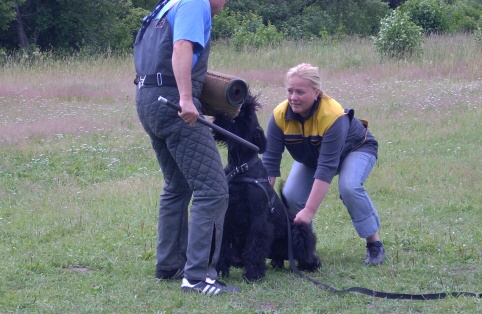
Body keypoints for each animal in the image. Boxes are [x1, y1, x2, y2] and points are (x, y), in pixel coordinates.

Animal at [213, 91, 322, 282]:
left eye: (245, 118)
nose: (245, 99)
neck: (240, 167)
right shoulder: (226, 217)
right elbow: (223, 246)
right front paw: (220, 271)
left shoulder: (258, 220)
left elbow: (255, 246)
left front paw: (253, 274)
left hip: (299, 229)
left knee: (305, 252)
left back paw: (310, 264)